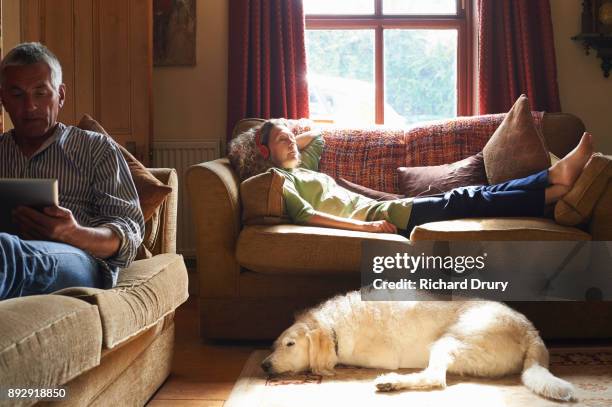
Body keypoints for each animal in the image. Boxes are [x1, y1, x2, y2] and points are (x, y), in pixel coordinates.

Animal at [260, 292, 576, 404]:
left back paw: (391, 382)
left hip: (449, 341)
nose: (264, 365)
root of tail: (531, 331)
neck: (334, 325)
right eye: (275, 344)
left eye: (290, 344)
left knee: (435, 377)